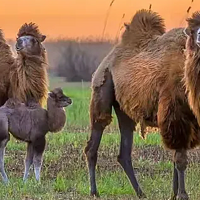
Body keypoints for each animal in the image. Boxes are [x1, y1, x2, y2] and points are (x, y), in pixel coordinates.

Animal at [84, 9, 200, 200]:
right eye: (194, 31)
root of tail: (107, 59)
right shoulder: (175, 114)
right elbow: (180, 159)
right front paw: (182, 194)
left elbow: (176, 157)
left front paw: (174, 193)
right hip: (102, 88)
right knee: (94, 140)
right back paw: (94, 191)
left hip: (124, 110)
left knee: (124, 151)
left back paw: (140, 192)